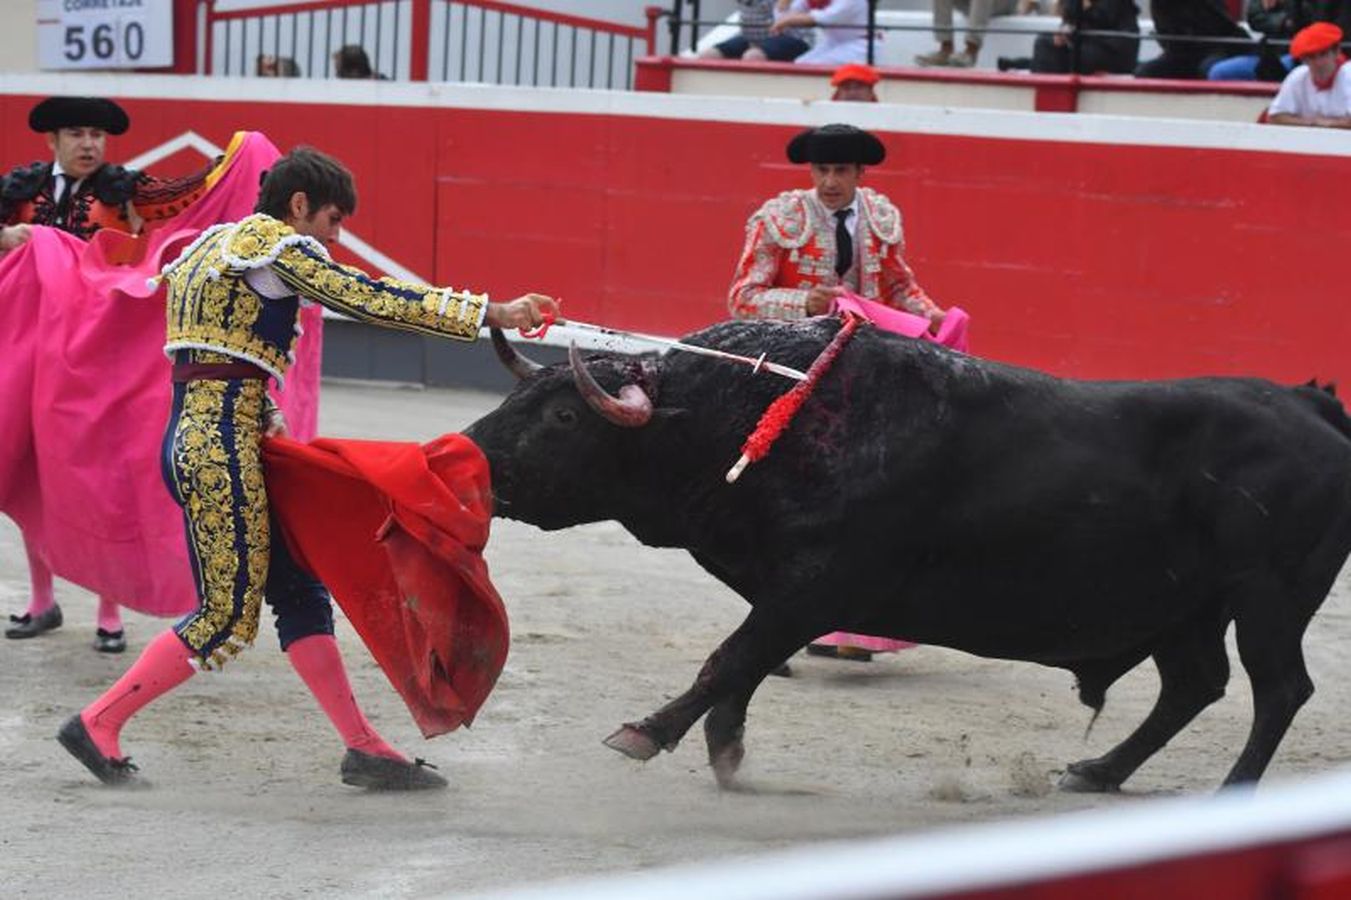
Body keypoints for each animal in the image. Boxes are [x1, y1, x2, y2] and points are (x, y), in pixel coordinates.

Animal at [464, 317, 1351, 794]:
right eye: (518, 398)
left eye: (562, 419)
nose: (469, 458)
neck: (761, 415)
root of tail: (1310, 407)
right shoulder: (786, 595)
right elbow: (744, 667)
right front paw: (728, 755)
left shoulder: (814, 589)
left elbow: (729, 660)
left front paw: (649, 734)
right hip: (1183, 608)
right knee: (1194, 685)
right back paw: (1097, 771)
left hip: (1267, 596)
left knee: (1278, 690)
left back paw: (1231, 794)